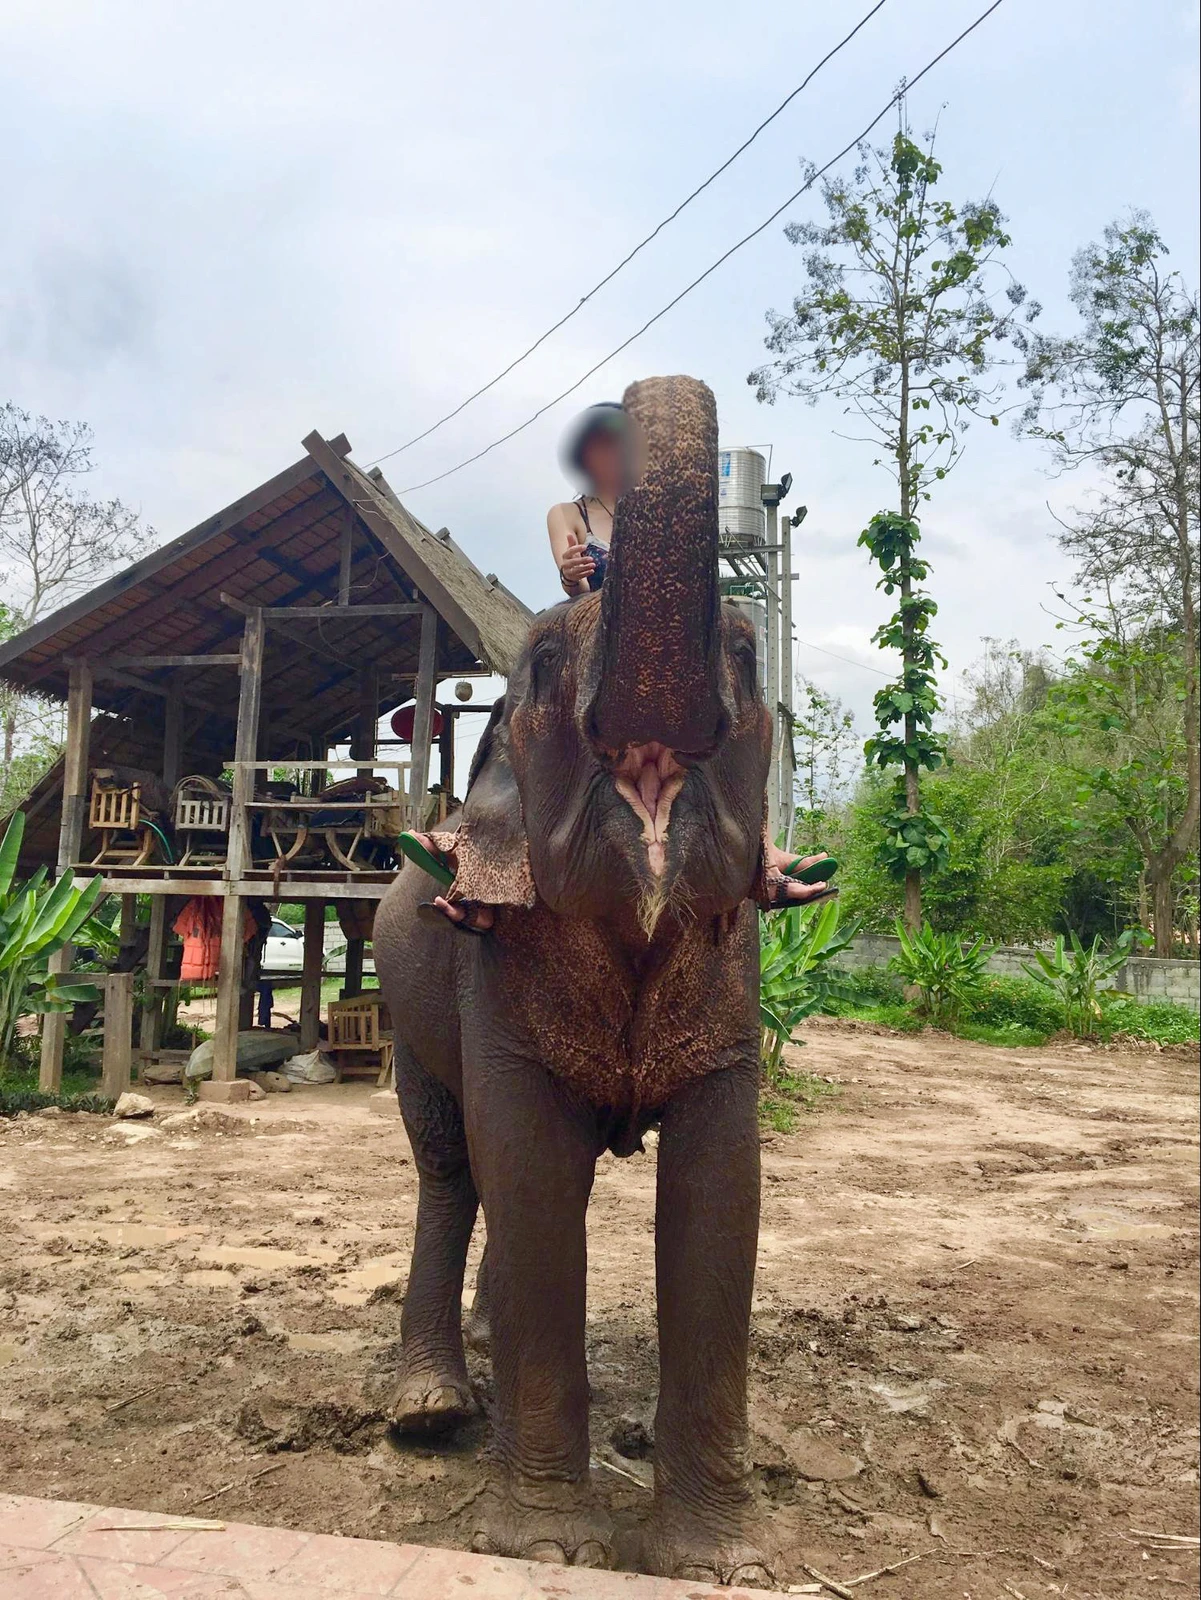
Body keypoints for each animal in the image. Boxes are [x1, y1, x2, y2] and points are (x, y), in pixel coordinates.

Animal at [380, 374, 783, 1587]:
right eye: (544, 674)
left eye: (745, 661)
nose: (606, 430)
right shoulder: (492, 964)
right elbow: (526, 1167)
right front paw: (551, 1543)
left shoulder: (735, 983)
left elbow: (718, 1191)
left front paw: (719, 1562)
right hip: (405, 1016)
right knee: (454, 1169)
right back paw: (433, 1410)